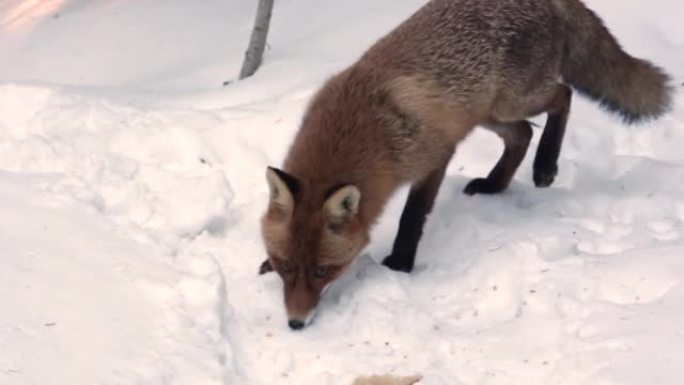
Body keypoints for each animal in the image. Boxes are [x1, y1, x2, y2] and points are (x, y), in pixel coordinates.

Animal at [260, 0, 672, 328]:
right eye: (286, 266)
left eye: (322, 270)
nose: (296, 323)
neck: (361, 123)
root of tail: (550, 0)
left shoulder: (434, 155)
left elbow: (412, 216)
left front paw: (400, 263)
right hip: (489, 113)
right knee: (522, 134)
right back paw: (494, 185)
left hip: (512, 100)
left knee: (563, 96)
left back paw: (545, 167)